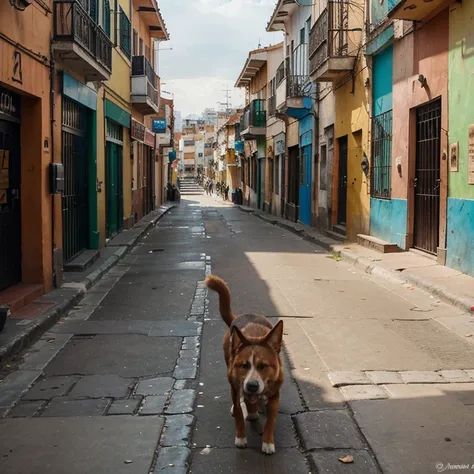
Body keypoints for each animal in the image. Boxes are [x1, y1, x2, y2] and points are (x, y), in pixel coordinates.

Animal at [206, 274, 284, 456]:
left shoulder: (275, 395)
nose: (252, 386)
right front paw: (241, 438)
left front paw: (268, 442)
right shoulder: (237, 387)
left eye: (263, 366)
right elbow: (240, 413)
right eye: (244, 365)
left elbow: (271, 420)